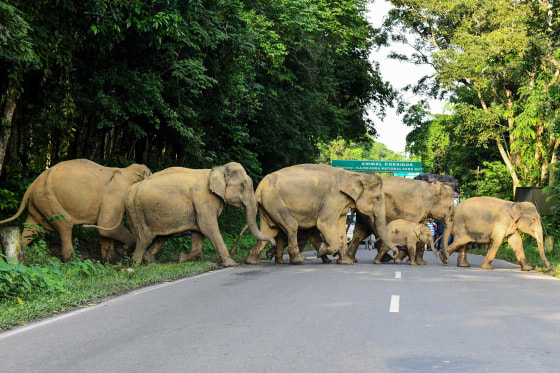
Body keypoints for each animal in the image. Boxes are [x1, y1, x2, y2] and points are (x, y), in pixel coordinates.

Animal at [0, 159, 151, 262]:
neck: (129, 171)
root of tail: (31, 186)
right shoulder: (116, 195)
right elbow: (106, 225)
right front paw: (123, 250)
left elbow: (104, 231)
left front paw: (109, 261)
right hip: (47, 197)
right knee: (65, 223)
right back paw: (72, 261)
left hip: (39, 201)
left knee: (32, 228)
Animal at [92, 161, 278, 266]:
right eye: (242, 185)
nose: (273, 246)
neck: (215, 170)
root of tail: (130, 190)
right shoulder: (203, 199)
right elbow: (208, 226)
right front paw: (231, 264)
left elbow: (198, 232)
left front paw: (182, 258)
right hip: (136, 212)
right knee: (144, 238)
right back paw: (136, 265)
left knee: (160, 236)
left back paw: (150, 262)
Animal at [243, 163, 396, 264]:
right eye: (377, 198)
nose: (394, 253)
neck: (354, 175)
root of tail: (259, 188)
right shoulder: (333, 197)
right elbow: (324, 223)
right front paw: (322, 250)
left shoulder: (341, 203)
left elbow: (340, 227)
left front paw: (345, 262)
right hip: (274, 201)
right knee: (291, 225)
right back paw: (298, 259)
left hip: (268, 205)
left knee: (268, 231)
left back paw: (252, 261)